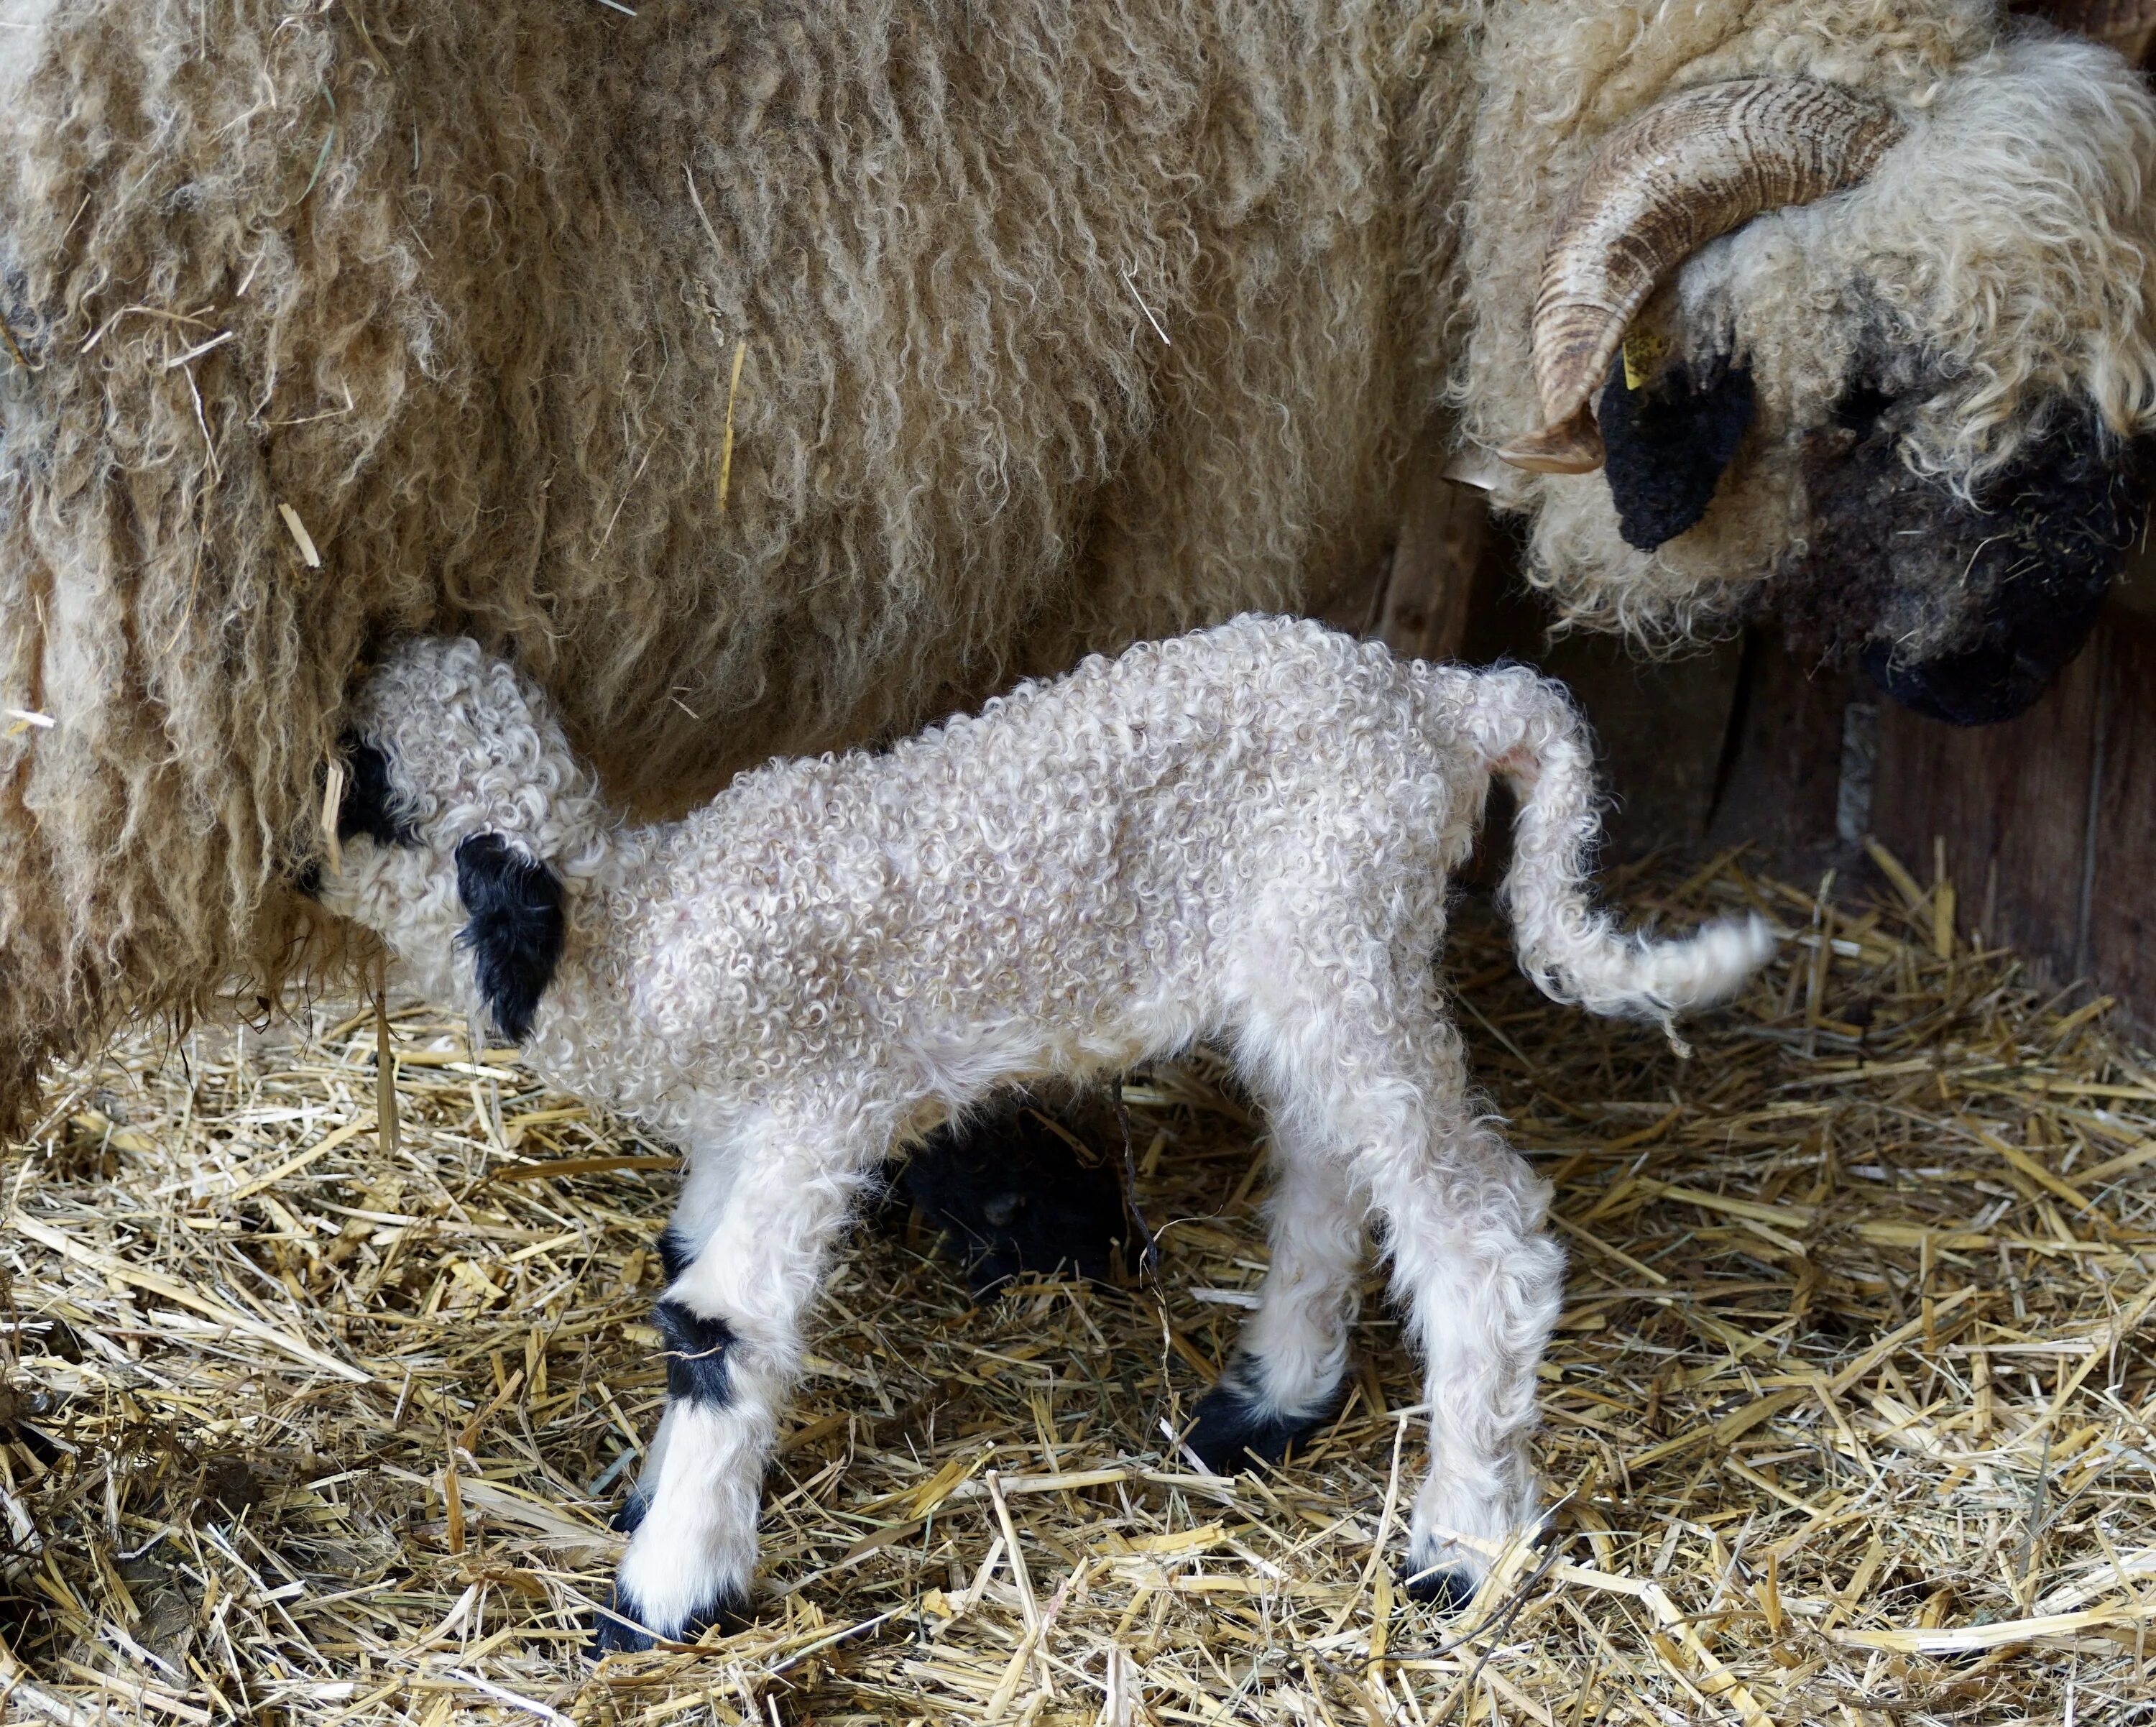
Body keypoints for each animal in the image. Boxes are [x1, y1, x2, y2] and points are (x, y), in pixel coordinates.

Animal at [315, 621, 1768, 1647]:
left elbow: (726, 1331)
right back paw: (1266, 1406)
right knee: (1329, 1173)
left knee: (1482, 1238)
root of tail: (1446, 699)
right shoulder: (740, 1134)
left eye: (363, 779)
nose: (285, 841)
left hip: (1349, 936)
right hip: (1314, 965)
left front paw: (666, 1595)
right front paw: (649, 1505)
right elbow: (685, 1287)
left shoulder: (815, 1109)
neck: (644, 932)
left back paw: (1461, 1546)